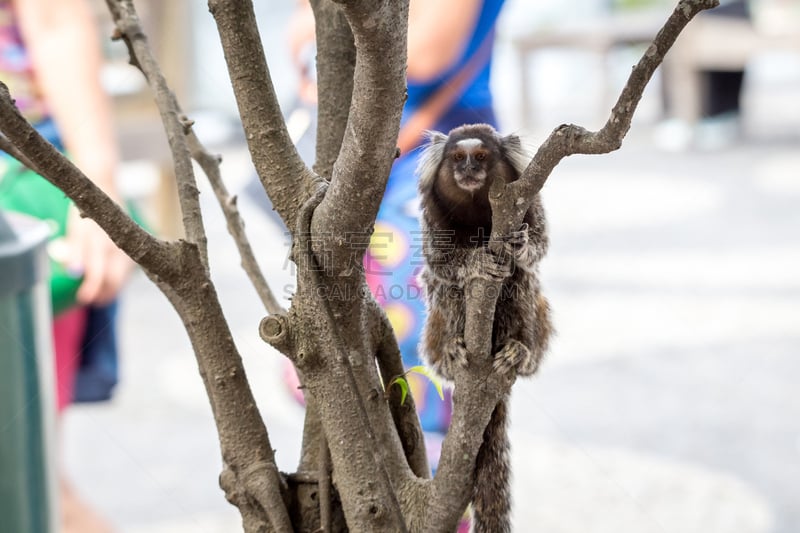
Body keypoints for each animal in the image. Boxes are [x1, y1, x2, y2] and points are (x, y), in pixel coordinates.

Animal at [412, 122, 552, 528]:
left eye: (481, 156)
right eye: (459, 157)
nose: (469, 170)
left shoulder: (526, 201)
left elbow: (538, 245)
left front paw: (521, 245)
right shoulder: (431, 217)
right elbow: (441, 263)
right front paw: (475, 261)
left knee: (521, 278)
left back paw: (518, 349)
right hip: (436, 337)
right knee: (445, 289)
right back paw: (453, 349)